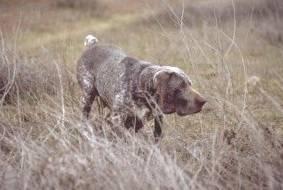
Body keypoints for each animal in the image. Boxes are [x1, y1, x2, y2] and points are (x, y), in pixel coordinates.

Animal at [77, 35, 206, 139]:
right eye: (181, 86)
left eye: (190, 84)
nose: (203, 101)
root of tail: (92, 44)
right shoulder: (116, 119)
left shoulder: (151, 119)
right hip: (87, 97)